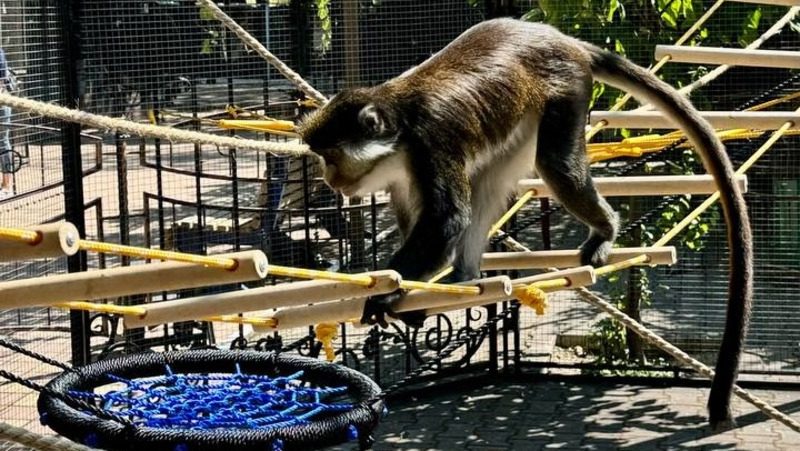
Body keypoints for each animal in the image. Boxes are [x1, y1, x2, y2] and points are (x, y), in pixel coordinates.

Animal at [296, 17, 752, 430]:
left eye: (330, 157)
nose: (328, 180)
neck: (400, 124)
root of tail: (562, 41)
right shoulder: (403, 170)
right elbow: (420, 216)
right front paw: (405, 297)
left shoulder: (432, 140)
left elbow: (447, 219)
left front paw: (385, 296)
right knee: (489, 180)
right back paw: (466, 276)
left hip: (565, 90)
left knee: (557, 166)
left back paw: (604, 229)